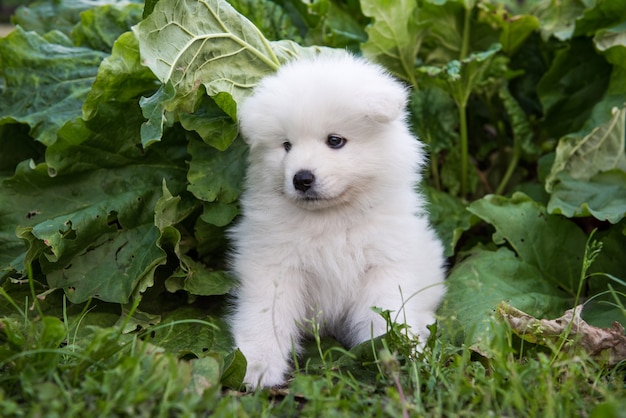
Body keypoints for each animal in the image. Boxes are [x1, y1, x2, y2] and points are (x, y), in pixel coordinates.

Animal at [229, 51, 444, 388]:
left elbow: (387, 315)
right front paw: (257, 365)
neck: (331, 219)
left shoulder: (384, 265)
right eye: (286, 145)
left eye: (335, 140)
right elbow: (266, 315)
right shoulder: (275, 266)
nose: (301, 178)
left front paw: (399, 355)